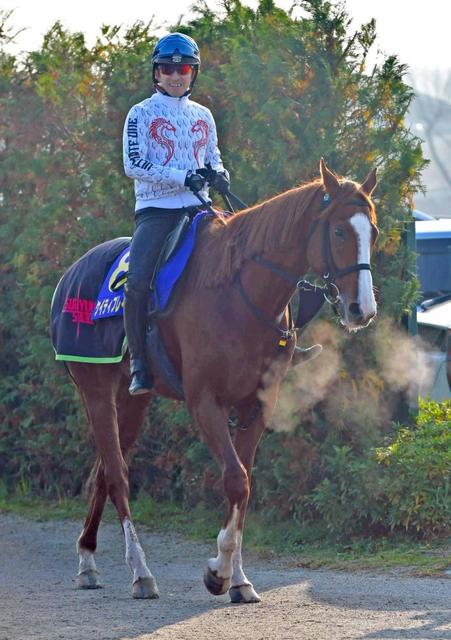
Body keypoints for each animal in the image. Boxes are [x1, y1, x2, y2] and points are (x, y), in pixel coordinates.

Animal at [58, 159, 380, 600]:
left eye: (373, 232)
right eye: (338, 231)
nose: (362, 309)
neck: (239, 292)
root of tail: (70, 275)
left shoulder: (257, 406)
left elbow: (244, 485)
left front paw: (238, 578)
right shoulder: (205, 403)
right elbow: (236, 480)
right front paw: (219, 573)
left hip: (133, 399)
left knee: (104, 473)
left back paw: (88, 561)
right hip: (95, 390)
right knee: (118, 475)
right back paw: (140, 573)